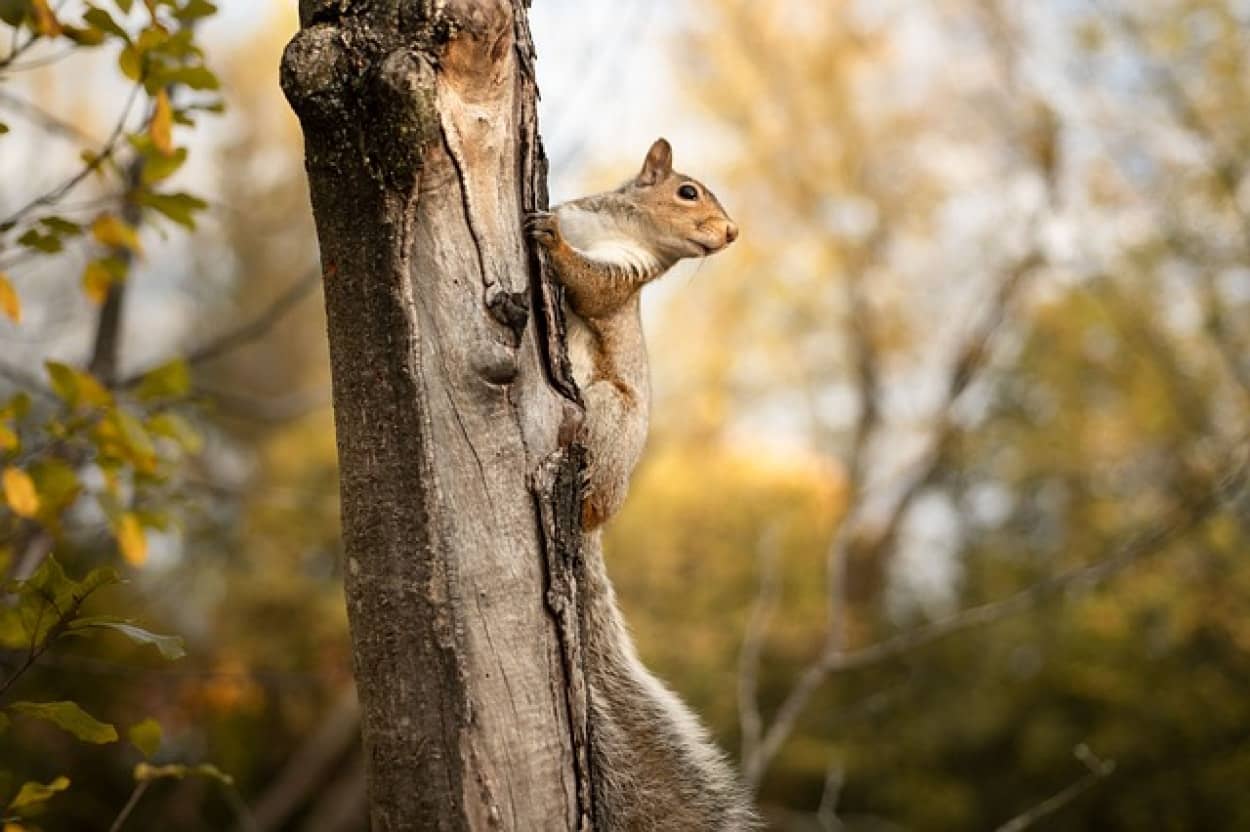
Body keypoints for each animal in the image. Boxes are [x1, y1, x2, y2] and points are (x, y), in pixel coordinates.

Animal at [525, 139, 755, 824]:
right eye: (687, 191)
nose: (731, 233)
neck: (618, 226)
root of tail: (602, 515)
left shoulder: (624, 279)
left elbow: (593, 289)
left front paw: (553, 243)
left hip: (606, 413)